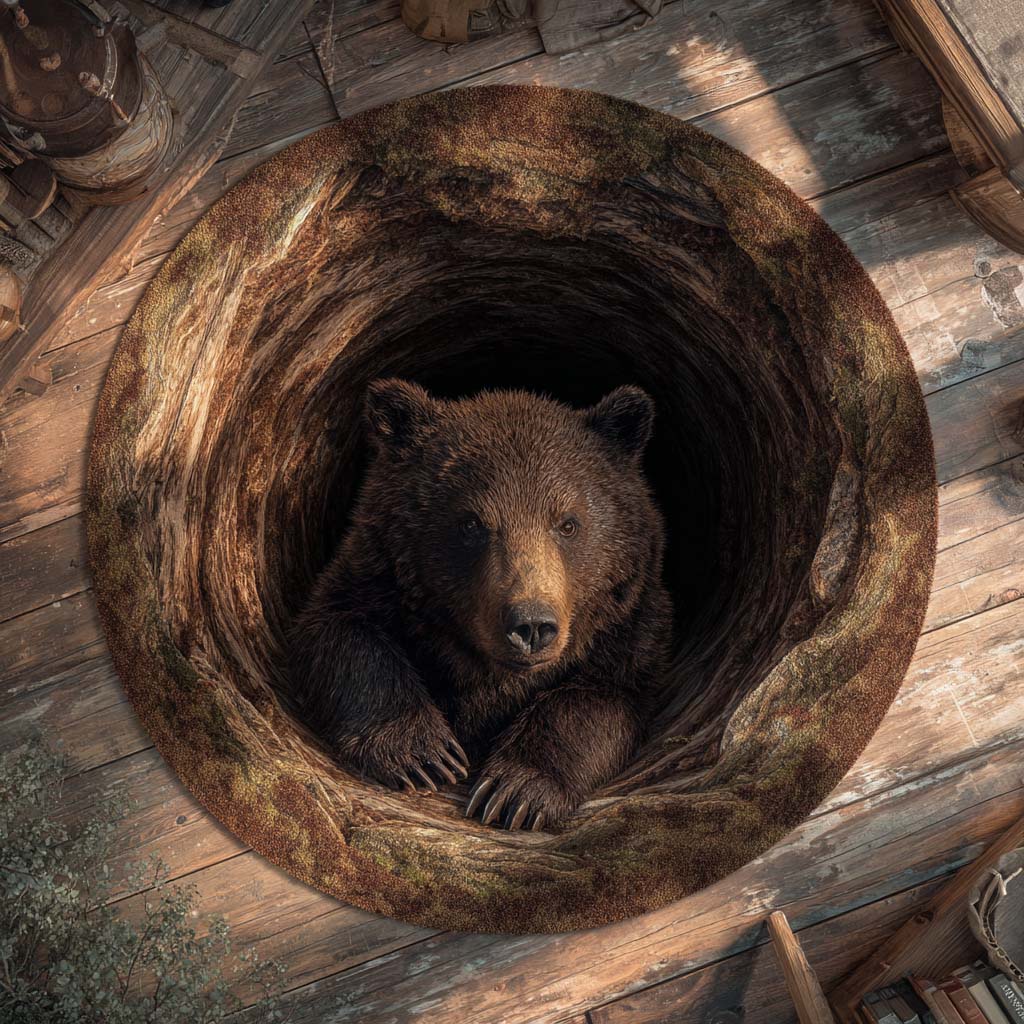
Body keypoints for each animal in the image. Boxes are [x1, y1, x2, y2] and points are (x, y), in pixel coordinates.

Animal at [290, 378, 673, 830]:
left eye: (567, 523)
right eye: (472, 523)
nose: (531, 625)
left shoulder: (630, 629)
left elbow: (600, 703)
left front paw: (514, 791)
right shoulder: (372, 580)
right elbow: (341, 635)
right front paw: (425, 755)